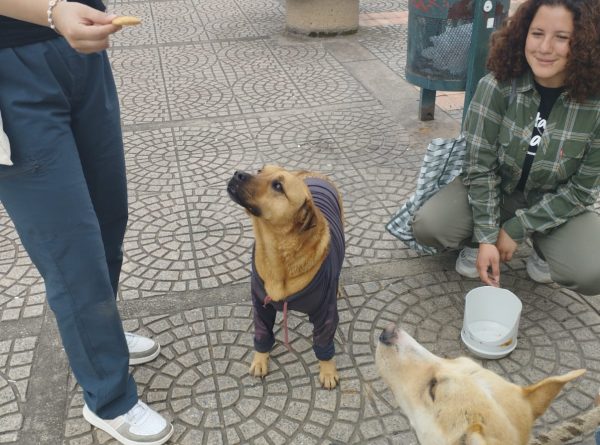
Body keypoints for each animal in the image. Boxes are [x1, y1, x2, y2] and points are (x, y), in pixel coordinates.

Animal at [227, 165, 344, 386]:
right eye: (260, 170)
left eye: (278, 186)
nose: (237, 174)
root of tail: (312, 172)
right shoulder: (261, 306)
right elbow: (262, 334)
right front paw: (260, 359)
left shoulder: (326, 312)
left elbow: (324, 342)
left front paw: (327, 370)